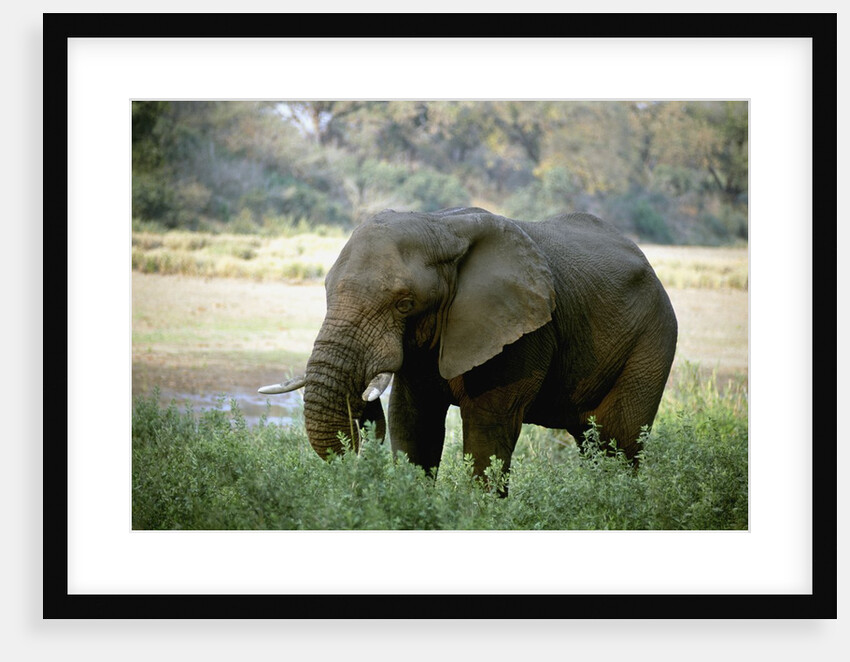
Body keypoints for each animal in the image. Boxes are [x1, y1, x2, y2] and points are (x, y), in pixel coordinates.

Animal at [260, 207, 677, 483]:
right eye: (326, 289)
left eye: (404, 304)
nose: (364, 407)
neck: (441, 225)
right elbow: (412, 424)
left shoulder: (520, 333)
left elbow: (486, 433)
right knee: (594, 445)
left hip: (652, 340)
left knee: (618, 443)